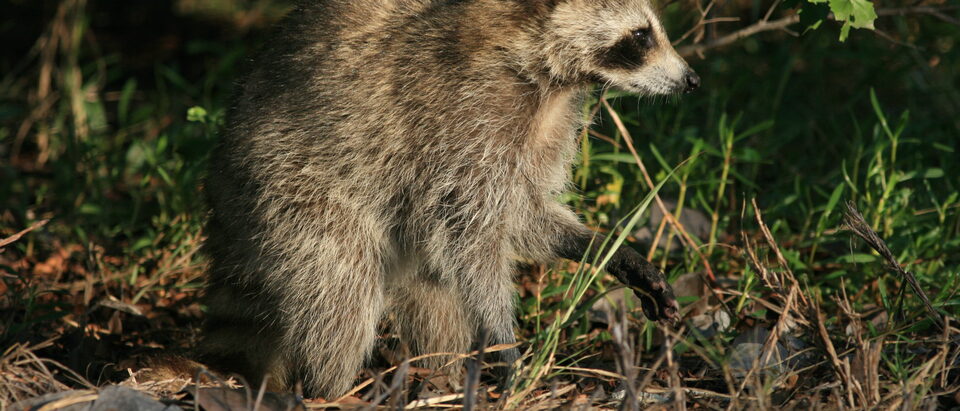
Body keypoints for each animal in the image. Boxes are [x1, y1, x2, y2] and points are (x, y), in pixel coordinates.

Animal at [201, 0, 696, 398]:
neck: (545, 75)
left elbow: (523, 214)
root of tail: (221, 179)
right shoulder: (463, 119)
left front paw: (609, 250)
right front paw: (503, 341)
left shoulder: (545, 127)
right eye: (641, 35)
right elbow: (473, 236)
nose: (691, 80)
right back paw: (333, 388)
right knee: (342, 289)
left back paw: (441, 374)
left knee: (431, 294)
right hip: (290, 190)